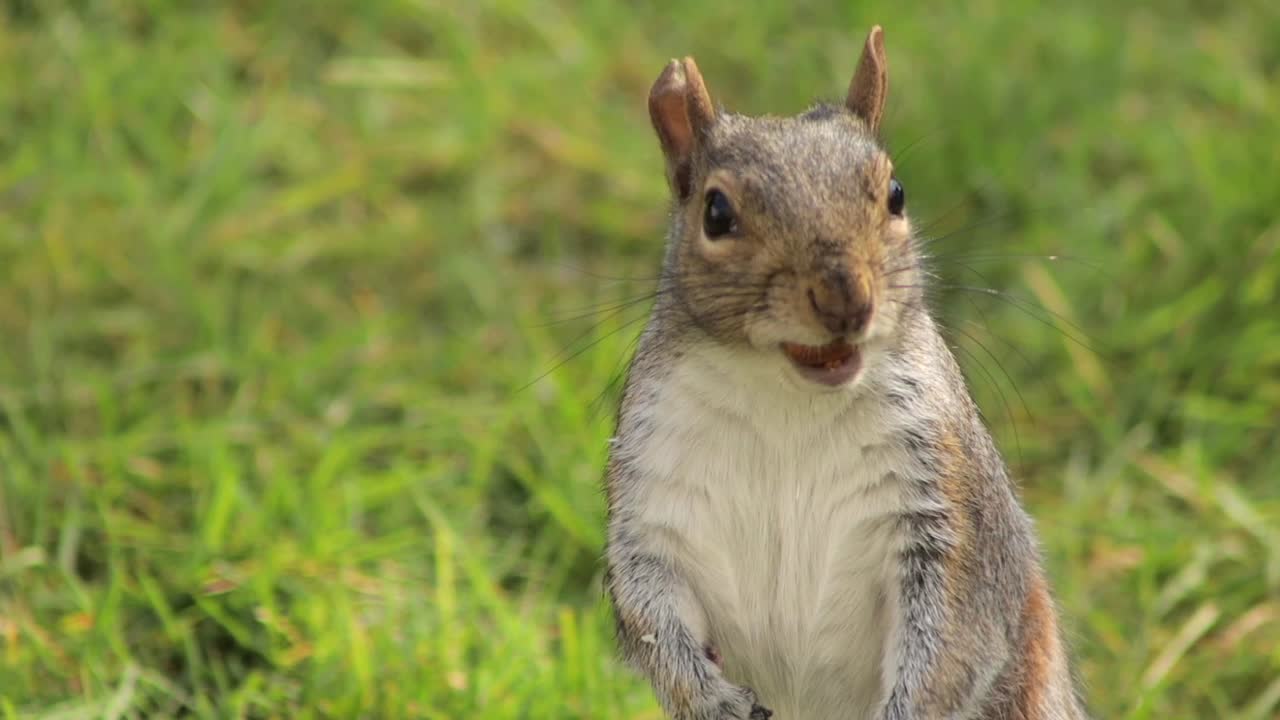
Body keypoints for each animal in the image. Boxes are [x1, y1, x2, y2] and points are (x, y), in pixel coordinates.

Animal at [602, 25, 1089, 720]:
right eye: (716, 213)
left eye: (896, 194)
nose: (845, 299)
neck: (786, 400)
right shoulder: (655, 498)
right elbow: (649, 612)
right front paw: (715, 701)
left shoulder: (951, 511)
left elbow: (953, 643)